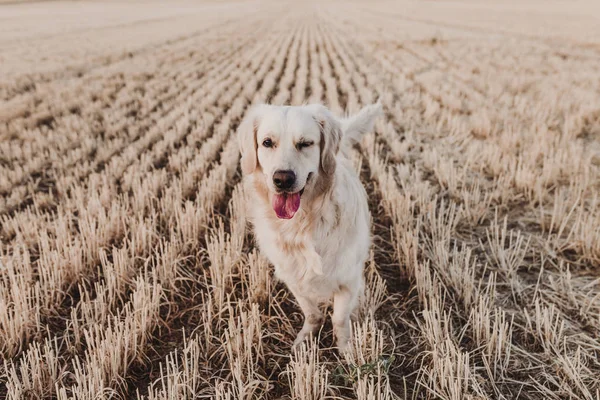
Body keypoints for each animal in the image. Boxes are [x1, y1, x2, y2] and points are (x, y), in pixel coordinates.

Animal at [238, 102, 382, 350]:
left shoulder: (349, 279)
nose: (282, 179)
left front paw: (346, 347)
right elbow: (312, 312)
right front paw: (306, 338)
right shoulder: (293, 277)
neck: (302, 224)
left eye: (305, 143)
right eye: (267, 142)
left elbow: (340, 318)